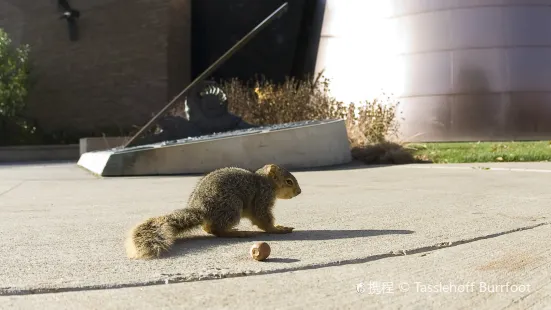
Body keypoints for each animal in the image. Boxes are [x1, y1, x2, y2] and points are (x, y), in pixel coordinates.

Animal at [126, 163, 302, 260]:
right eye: (288, 181)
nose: (299, 192)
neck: (266, 181)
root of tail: (201, 209)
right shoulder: (262, 197)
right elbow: (263, 218)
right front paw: (278, 229)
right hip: (231, 207)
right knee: (215, 229)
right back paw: (237, 233)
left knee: (208, 228)